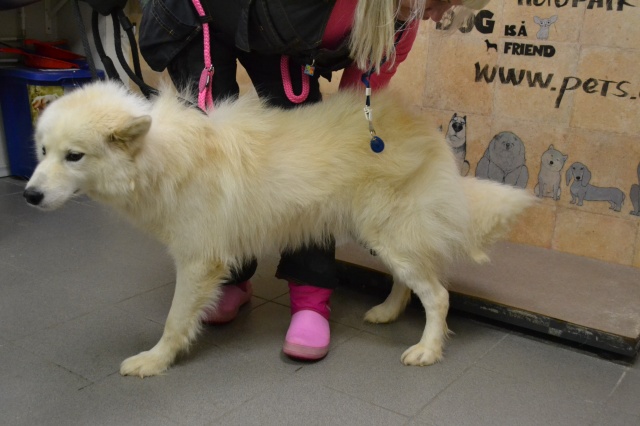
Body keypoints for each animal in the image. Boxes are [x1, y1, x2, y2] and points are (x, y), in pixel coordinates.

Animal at [24, 81, 534, 377]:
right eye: (43, 151)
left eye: (74, 156)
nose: (28, 195)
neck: (162, 156)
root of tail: (423, 126)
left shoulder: (196, 260)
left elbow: (173, 321)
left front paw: (155, 361)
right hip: (380, 235)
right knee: (411, 283)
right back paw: (387, 312)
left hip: (388, 233)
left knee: (438, 295)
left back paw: (426, 350)